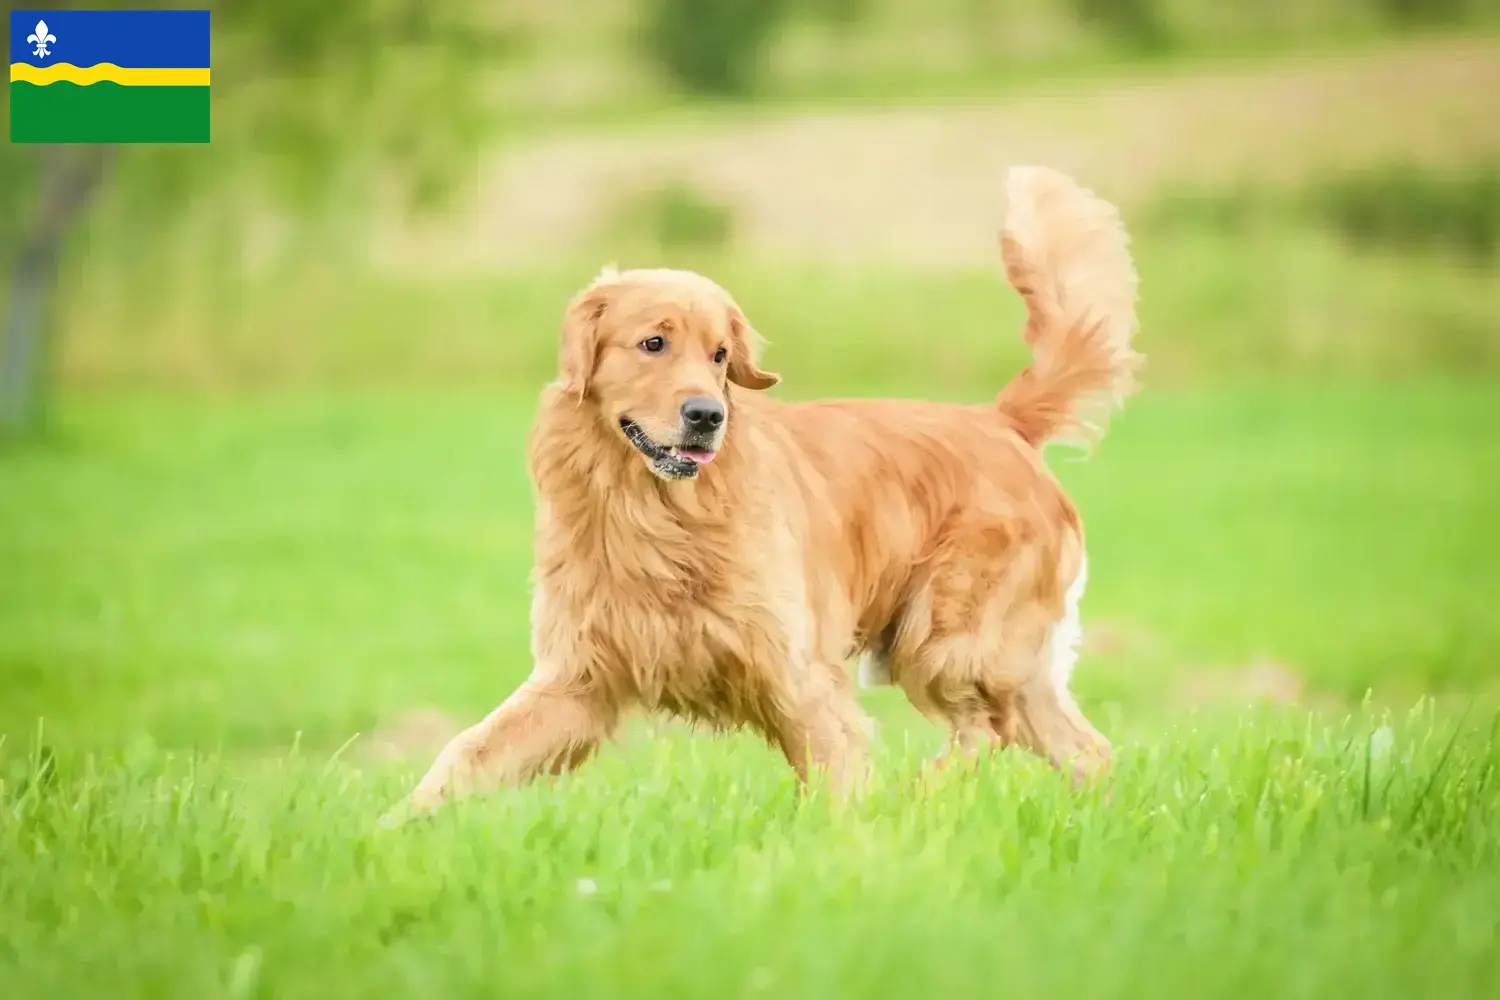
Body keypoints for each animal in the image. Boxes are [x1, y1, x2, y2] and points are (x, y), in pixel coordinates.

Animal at [393, 164, 1140, 815]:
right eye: (654, 343)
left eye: (720, 355)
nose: (706, 416)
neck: (657, 514)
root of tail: (1003, 421)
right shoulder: (577, 679)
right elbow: (464, 755)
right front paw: (391, 835)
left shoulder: (799, 674)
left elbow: (838, 782)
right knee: (1084, 748)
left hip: (946, 642)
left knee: (987, 729)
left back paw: (920, 796)